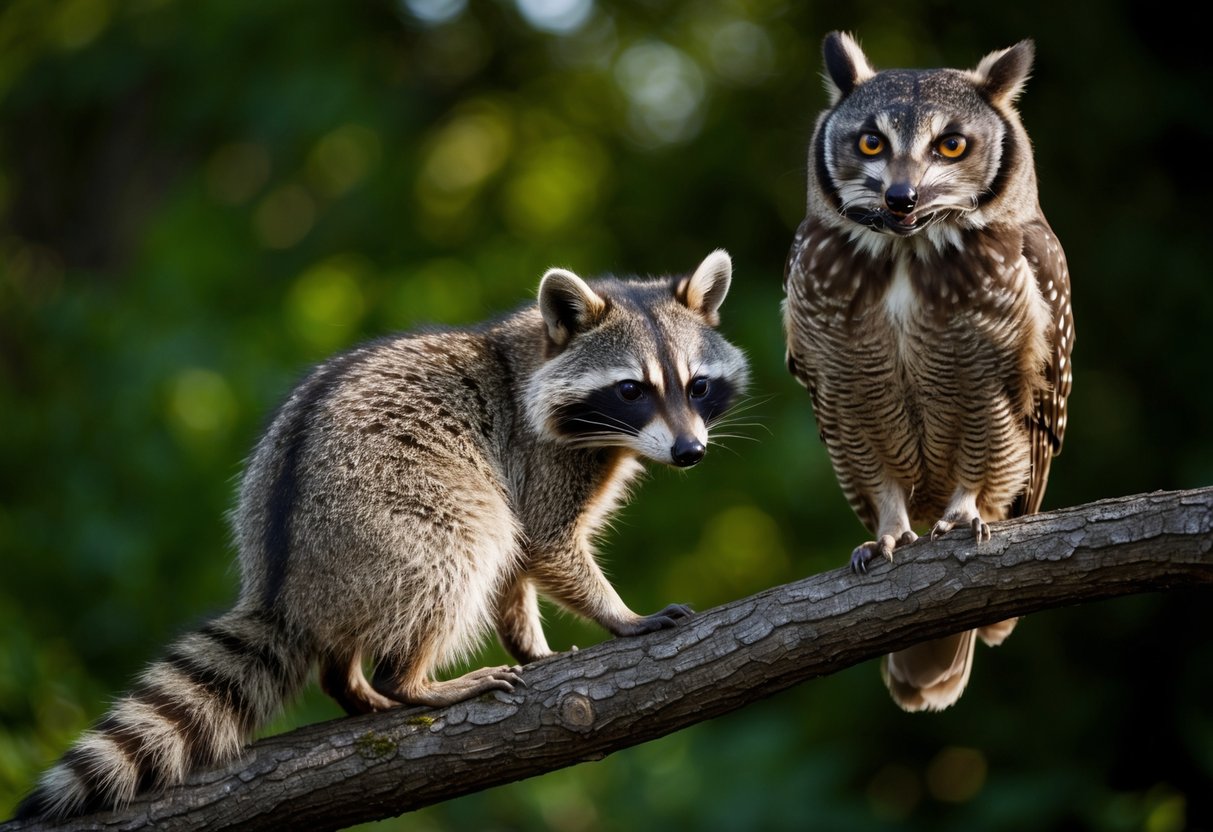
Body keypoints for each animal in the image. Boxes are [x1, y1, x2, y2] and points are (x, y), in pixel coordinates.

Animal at [15, 249, 750, 820]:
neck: (534, 351)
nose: (689, 452)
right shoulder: (538, 458)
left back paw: (351, 682)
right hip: (398, 517)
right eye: (631, 390)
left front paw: (531, 640)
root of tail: (283, 588)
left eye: (696, 386)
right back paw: (410, 682)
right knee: (468, 544)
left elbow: (517, 569)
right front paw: (619, 616)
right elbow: (540, 542)